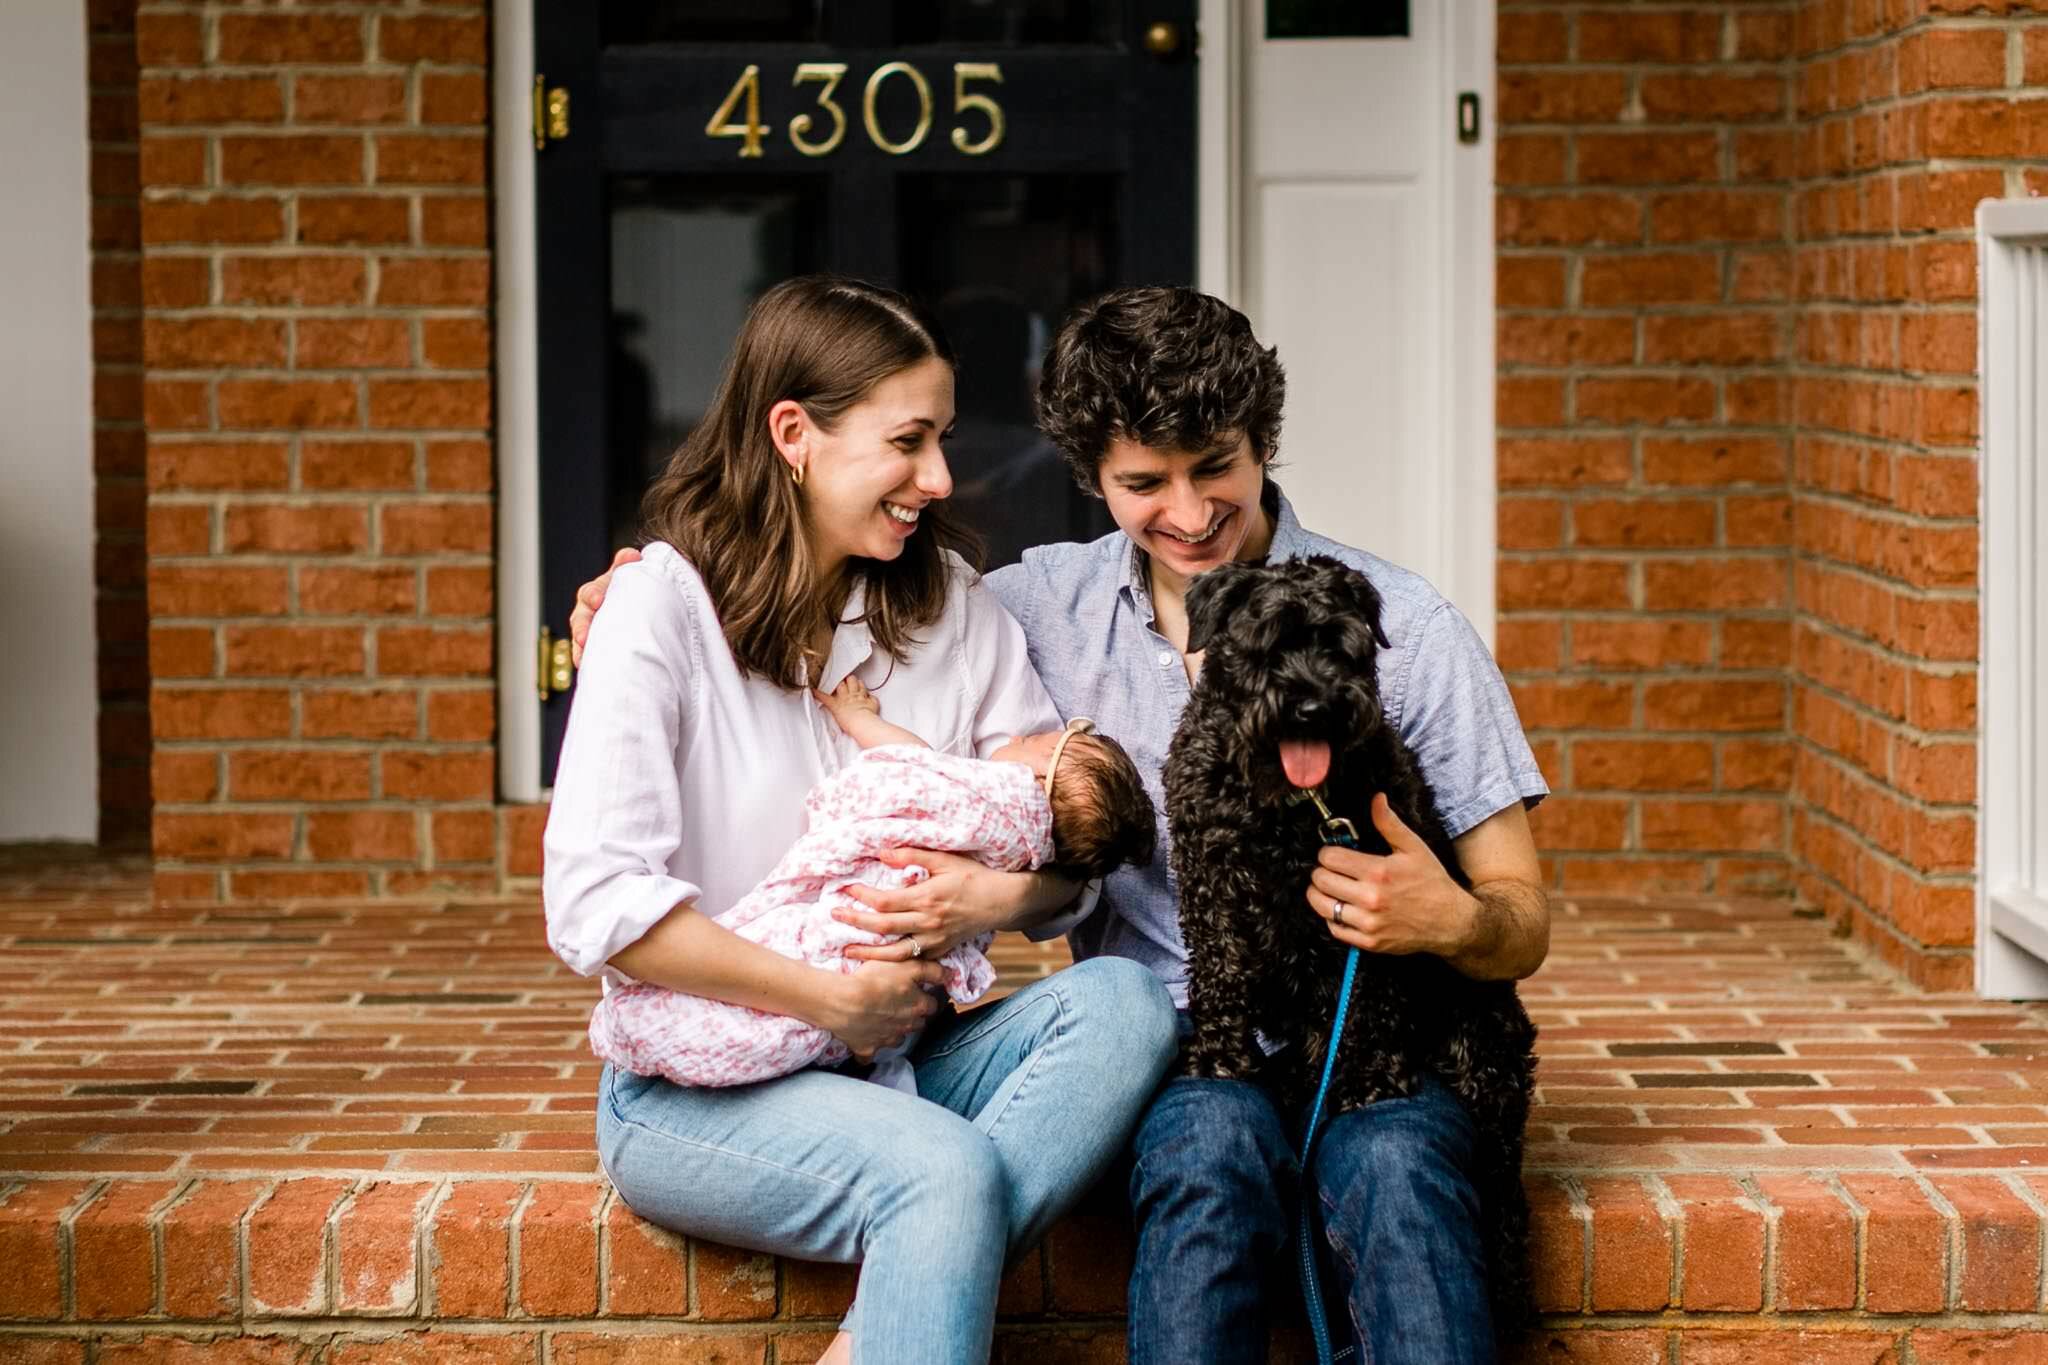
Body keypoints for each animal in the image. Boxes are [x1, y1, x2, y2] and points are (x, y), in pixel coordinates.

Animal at [1171, 556, 1540, 1342]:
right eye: (1268, 641)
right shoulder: (1211, 877)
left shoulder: (1370, 898)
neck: (1289, 806)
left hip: (1485, 1055)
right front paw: (1218, 1056)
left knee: (1502, 1192)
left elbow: (1368, 989)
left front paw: (1369, 1077)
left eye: (1344, 644)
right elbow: (1219, 970)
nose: (1314, 706)